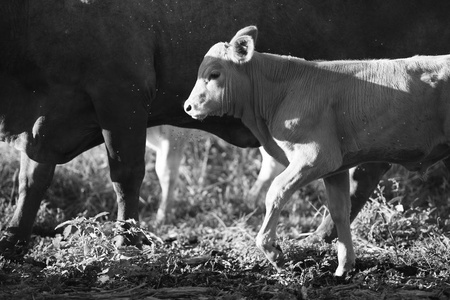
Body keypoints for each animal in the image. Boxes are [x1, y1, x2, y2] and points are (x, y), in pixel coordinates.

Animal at [0, 0, 450, 255]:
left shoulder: (120, 97)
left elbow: (126, 177)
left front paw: (125, 241)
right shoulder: (47, 121)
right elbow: (31, 179)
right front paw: (14, 238)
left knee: (361, 173)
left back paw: (318, 239)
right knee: (359, 175)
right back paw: (322, 239)